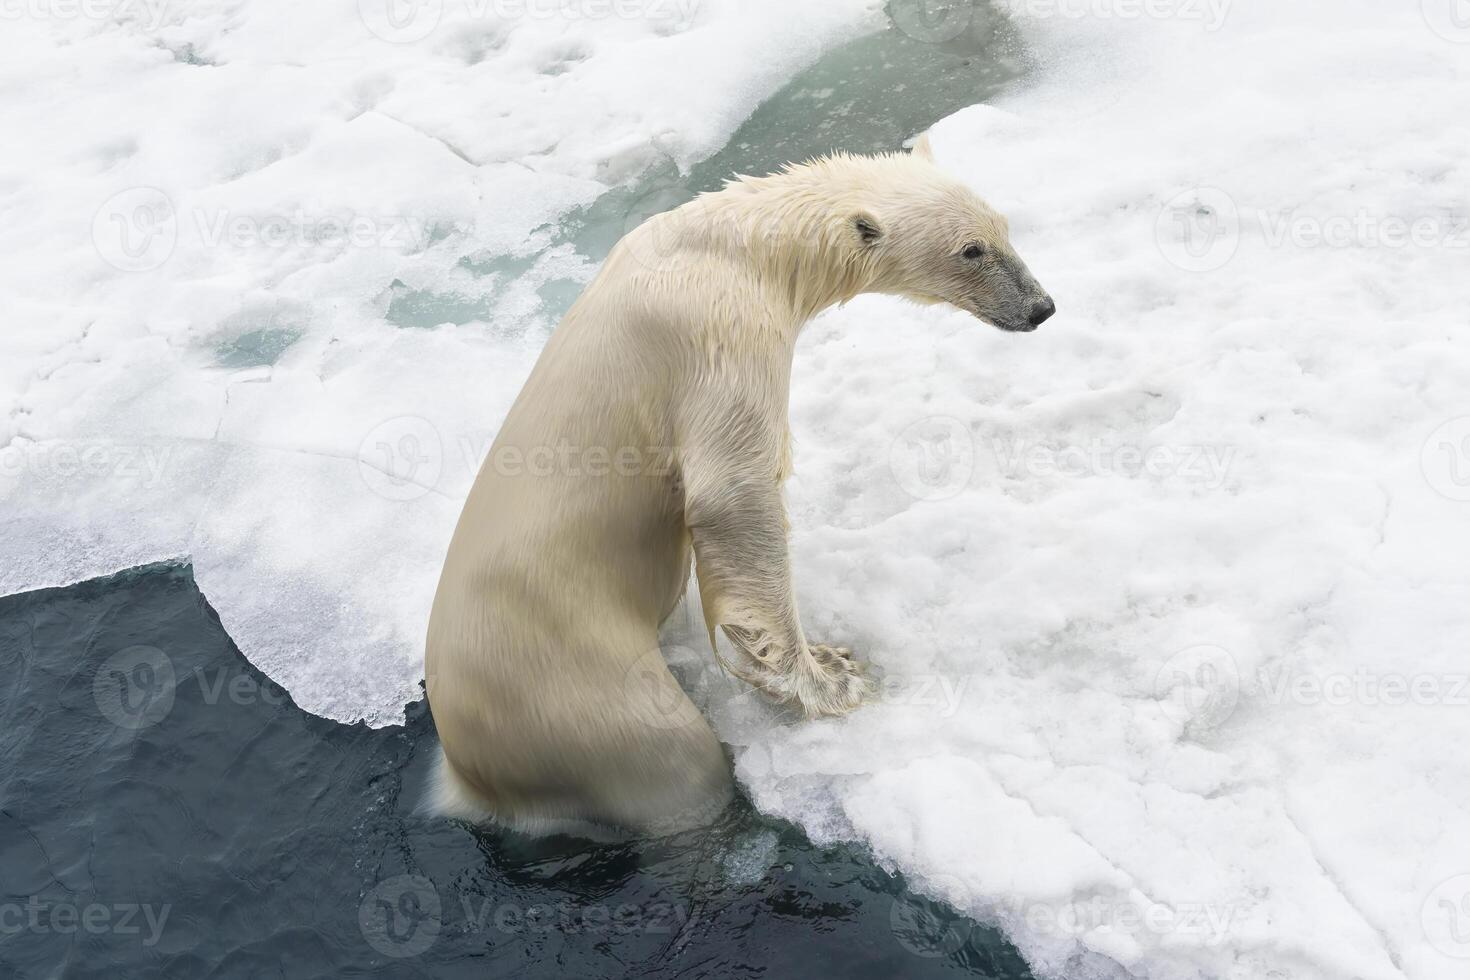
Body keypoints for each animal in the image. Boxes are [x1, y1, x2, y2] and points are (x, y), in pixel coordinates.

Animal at [426, 147, 1058, 834]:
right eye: (970, 250)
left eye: (1003, 228)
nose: (1041, 308)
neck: (740, 245)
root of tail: (467, 772)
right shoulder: (723, 328)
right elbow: (732, 493)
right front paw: (831, 676)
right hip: (564, 684)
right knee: (671, 758)